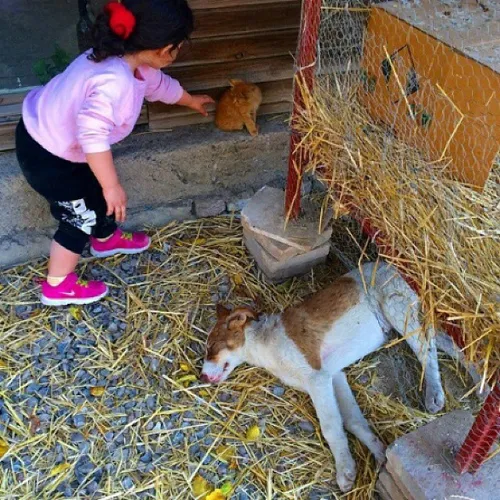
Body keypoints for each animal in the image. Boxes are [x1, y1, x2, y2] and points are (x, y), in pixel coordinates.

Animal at [200, 262, 484, 492]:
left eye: (211, 347)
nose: (201, 377)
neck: (265, 343)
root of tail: (393, 264)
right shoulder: (334, 377)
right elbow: (353, 421)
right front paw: (379, 452)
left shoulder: (318, 380)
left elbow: (331, 428)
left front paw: (345, 471)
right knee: (452, 347)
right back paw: (482, 383)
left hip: (398, 310)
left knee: (428, 352)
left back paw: (434, 393)